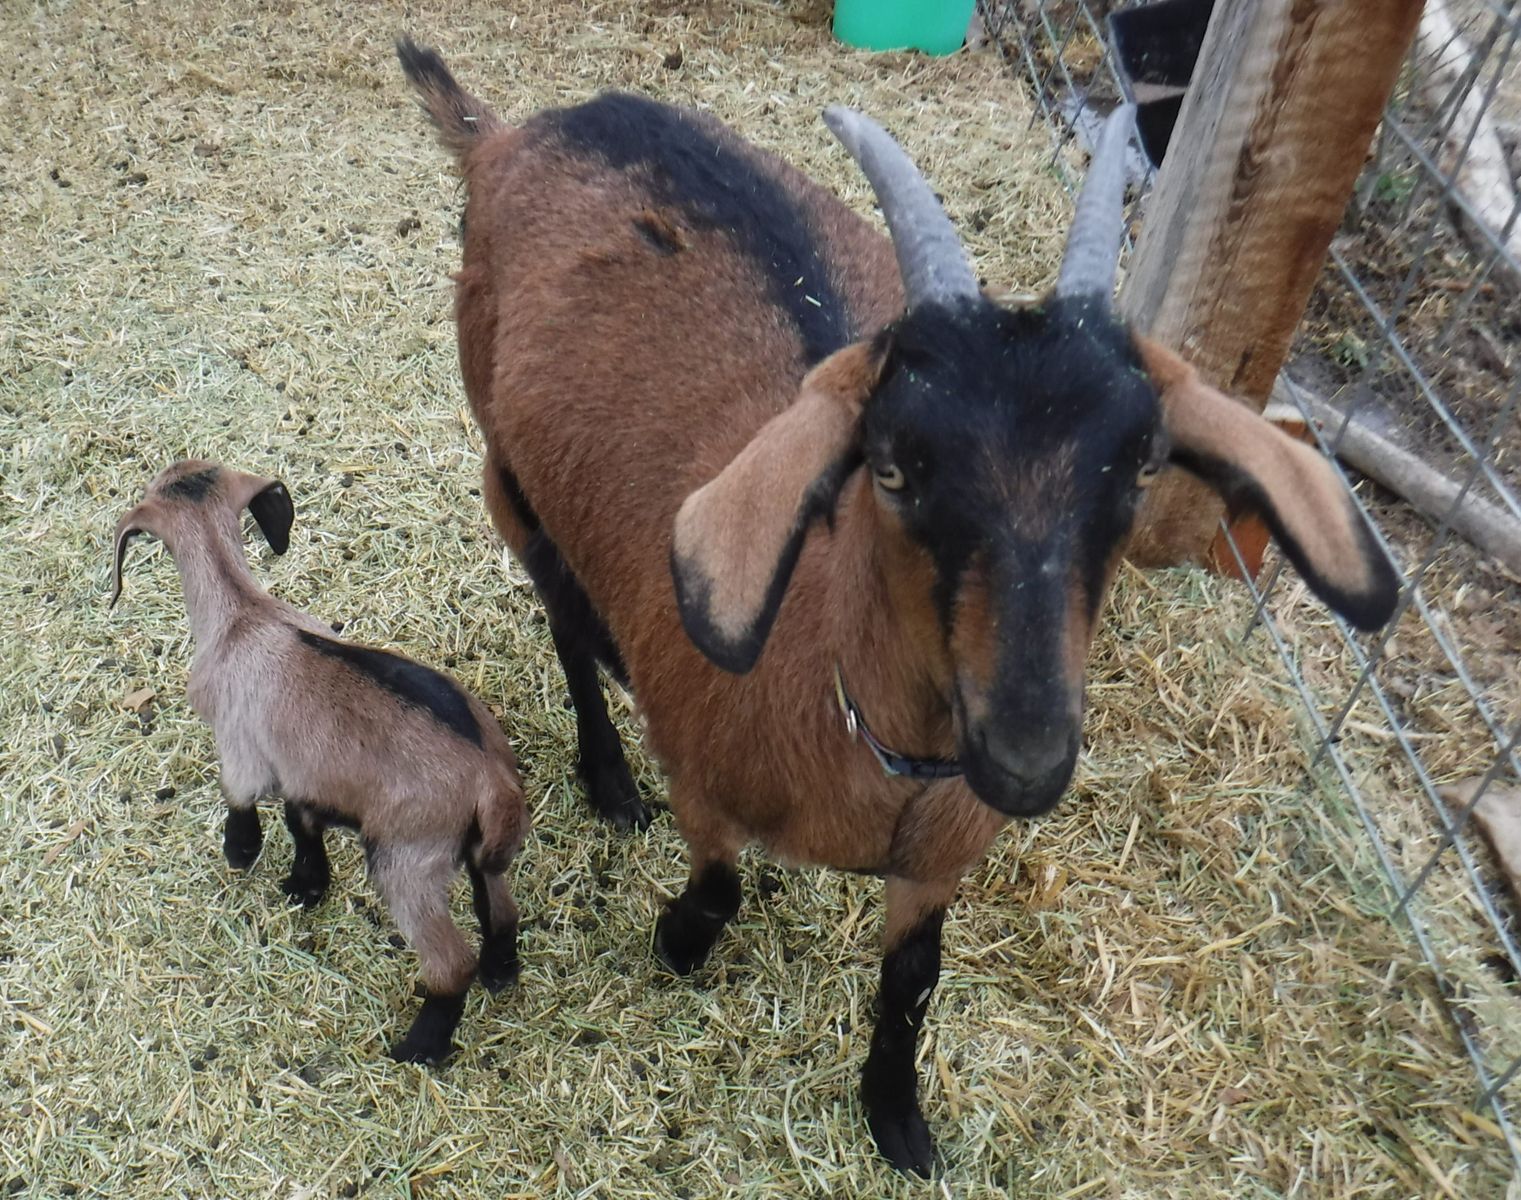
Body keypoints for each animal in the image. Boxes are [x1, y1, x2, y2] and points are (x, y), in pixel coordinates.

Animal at [110, 460, 527, 1064]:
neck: (244, 615)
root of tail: (490, 777)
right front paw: (306, 885)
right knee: (499, 907)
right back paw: (501, 971)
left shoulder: (240, 748)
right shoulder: (306, 772)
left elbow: (240, 800)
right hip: (477, 852)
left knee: (450, 963)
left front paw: (241, 853)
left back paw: (419, 1047)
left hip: (407, 857)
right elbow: (300, 821)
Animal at [398, 40, 1400, 1172]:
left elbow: (916, 978)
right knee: (566, 617)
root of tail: (513, 134)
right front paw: (676, 942)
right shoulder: (704, 780)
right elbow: (720, 885)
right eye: (890, 466)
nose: (1026, 752)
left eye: (1143, 462)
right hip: (504, 461)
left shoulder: (941, 860)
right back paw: (607, 775)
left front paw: (897, 1117)